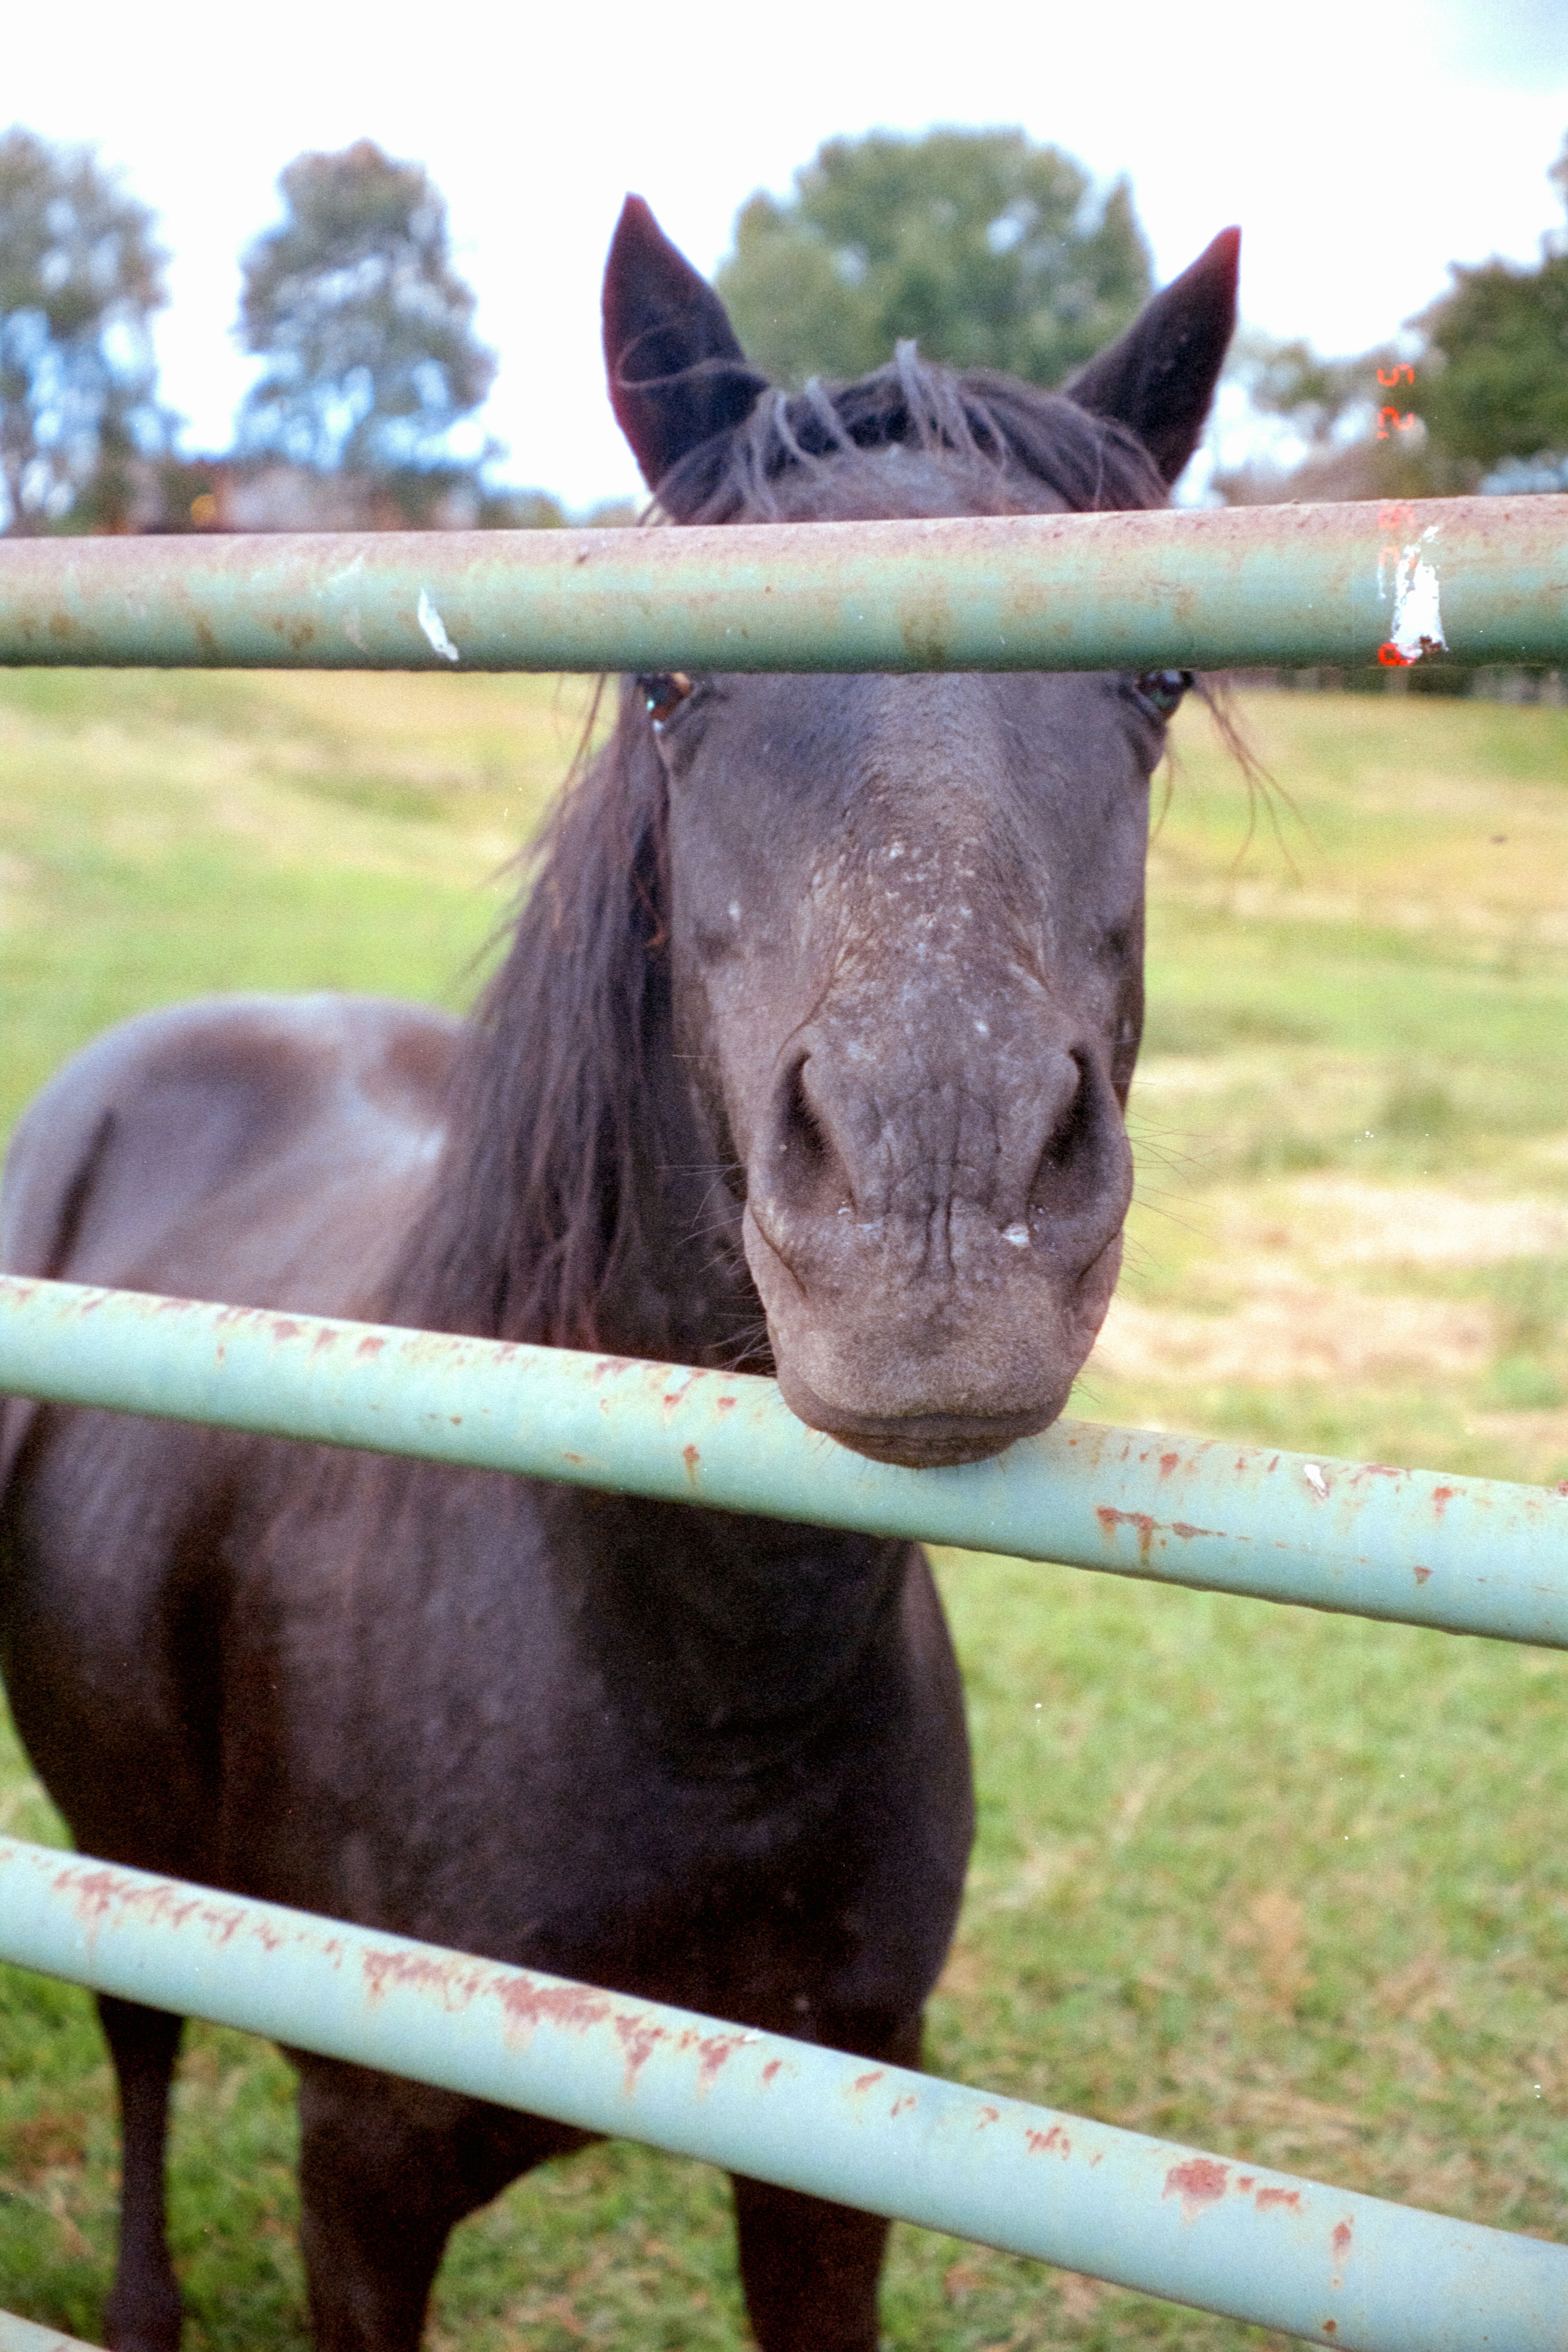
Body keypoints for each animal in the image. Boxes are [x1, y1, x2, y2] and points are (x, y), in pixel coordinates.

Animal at [0, 195, 1237, 2351]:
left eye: (1155, 676)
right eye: (666, 684)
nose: (940, 1201)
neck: (689, 1682)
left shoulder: (839, 2147)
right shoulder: (362, 2175)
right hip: (121, 1839)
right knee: (139, 2029)